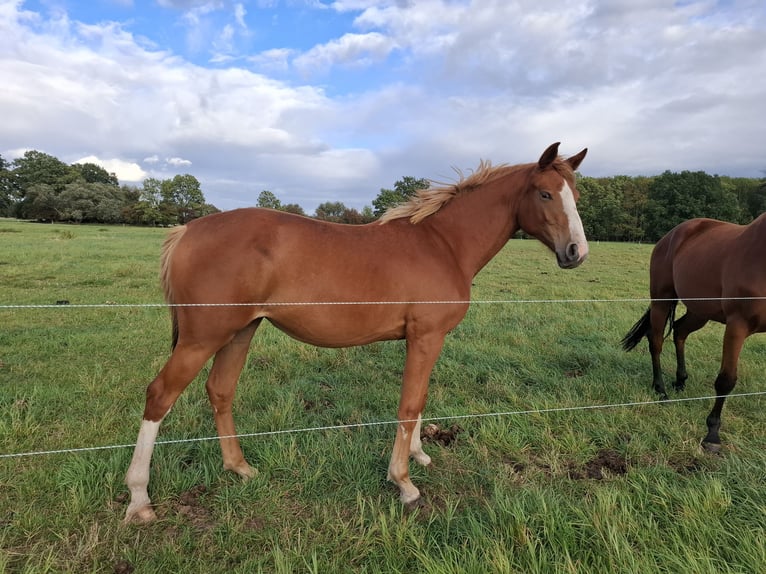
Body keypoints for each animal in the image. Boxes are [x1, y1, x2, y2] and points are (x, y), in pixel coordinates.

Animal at [124, 142, 589, 523]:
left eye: (576, 195)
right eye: (545, 193)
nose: (576, 252)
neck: (443, 244)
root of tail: (187, 229)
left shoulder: (429, 340)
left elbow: (419, 401)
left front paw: (419, 454)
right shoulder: (425, 337)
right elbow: (409, 405)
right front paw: (404, 483)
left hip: (240, 331)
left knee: (220, 391)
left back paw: (240, 468)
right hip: (202, 338)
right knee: (160, 396)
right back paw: (139, 500)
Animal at [622, 214, 766, 451]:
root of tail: (671, 235)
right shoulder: (737, 325)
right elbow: (726, 380)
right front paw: (712, 434)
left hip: (699, 311)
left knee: (680, 331)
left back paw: (680, 381)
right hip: (662, 299)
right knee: (656, 342)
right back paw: (661, 390)